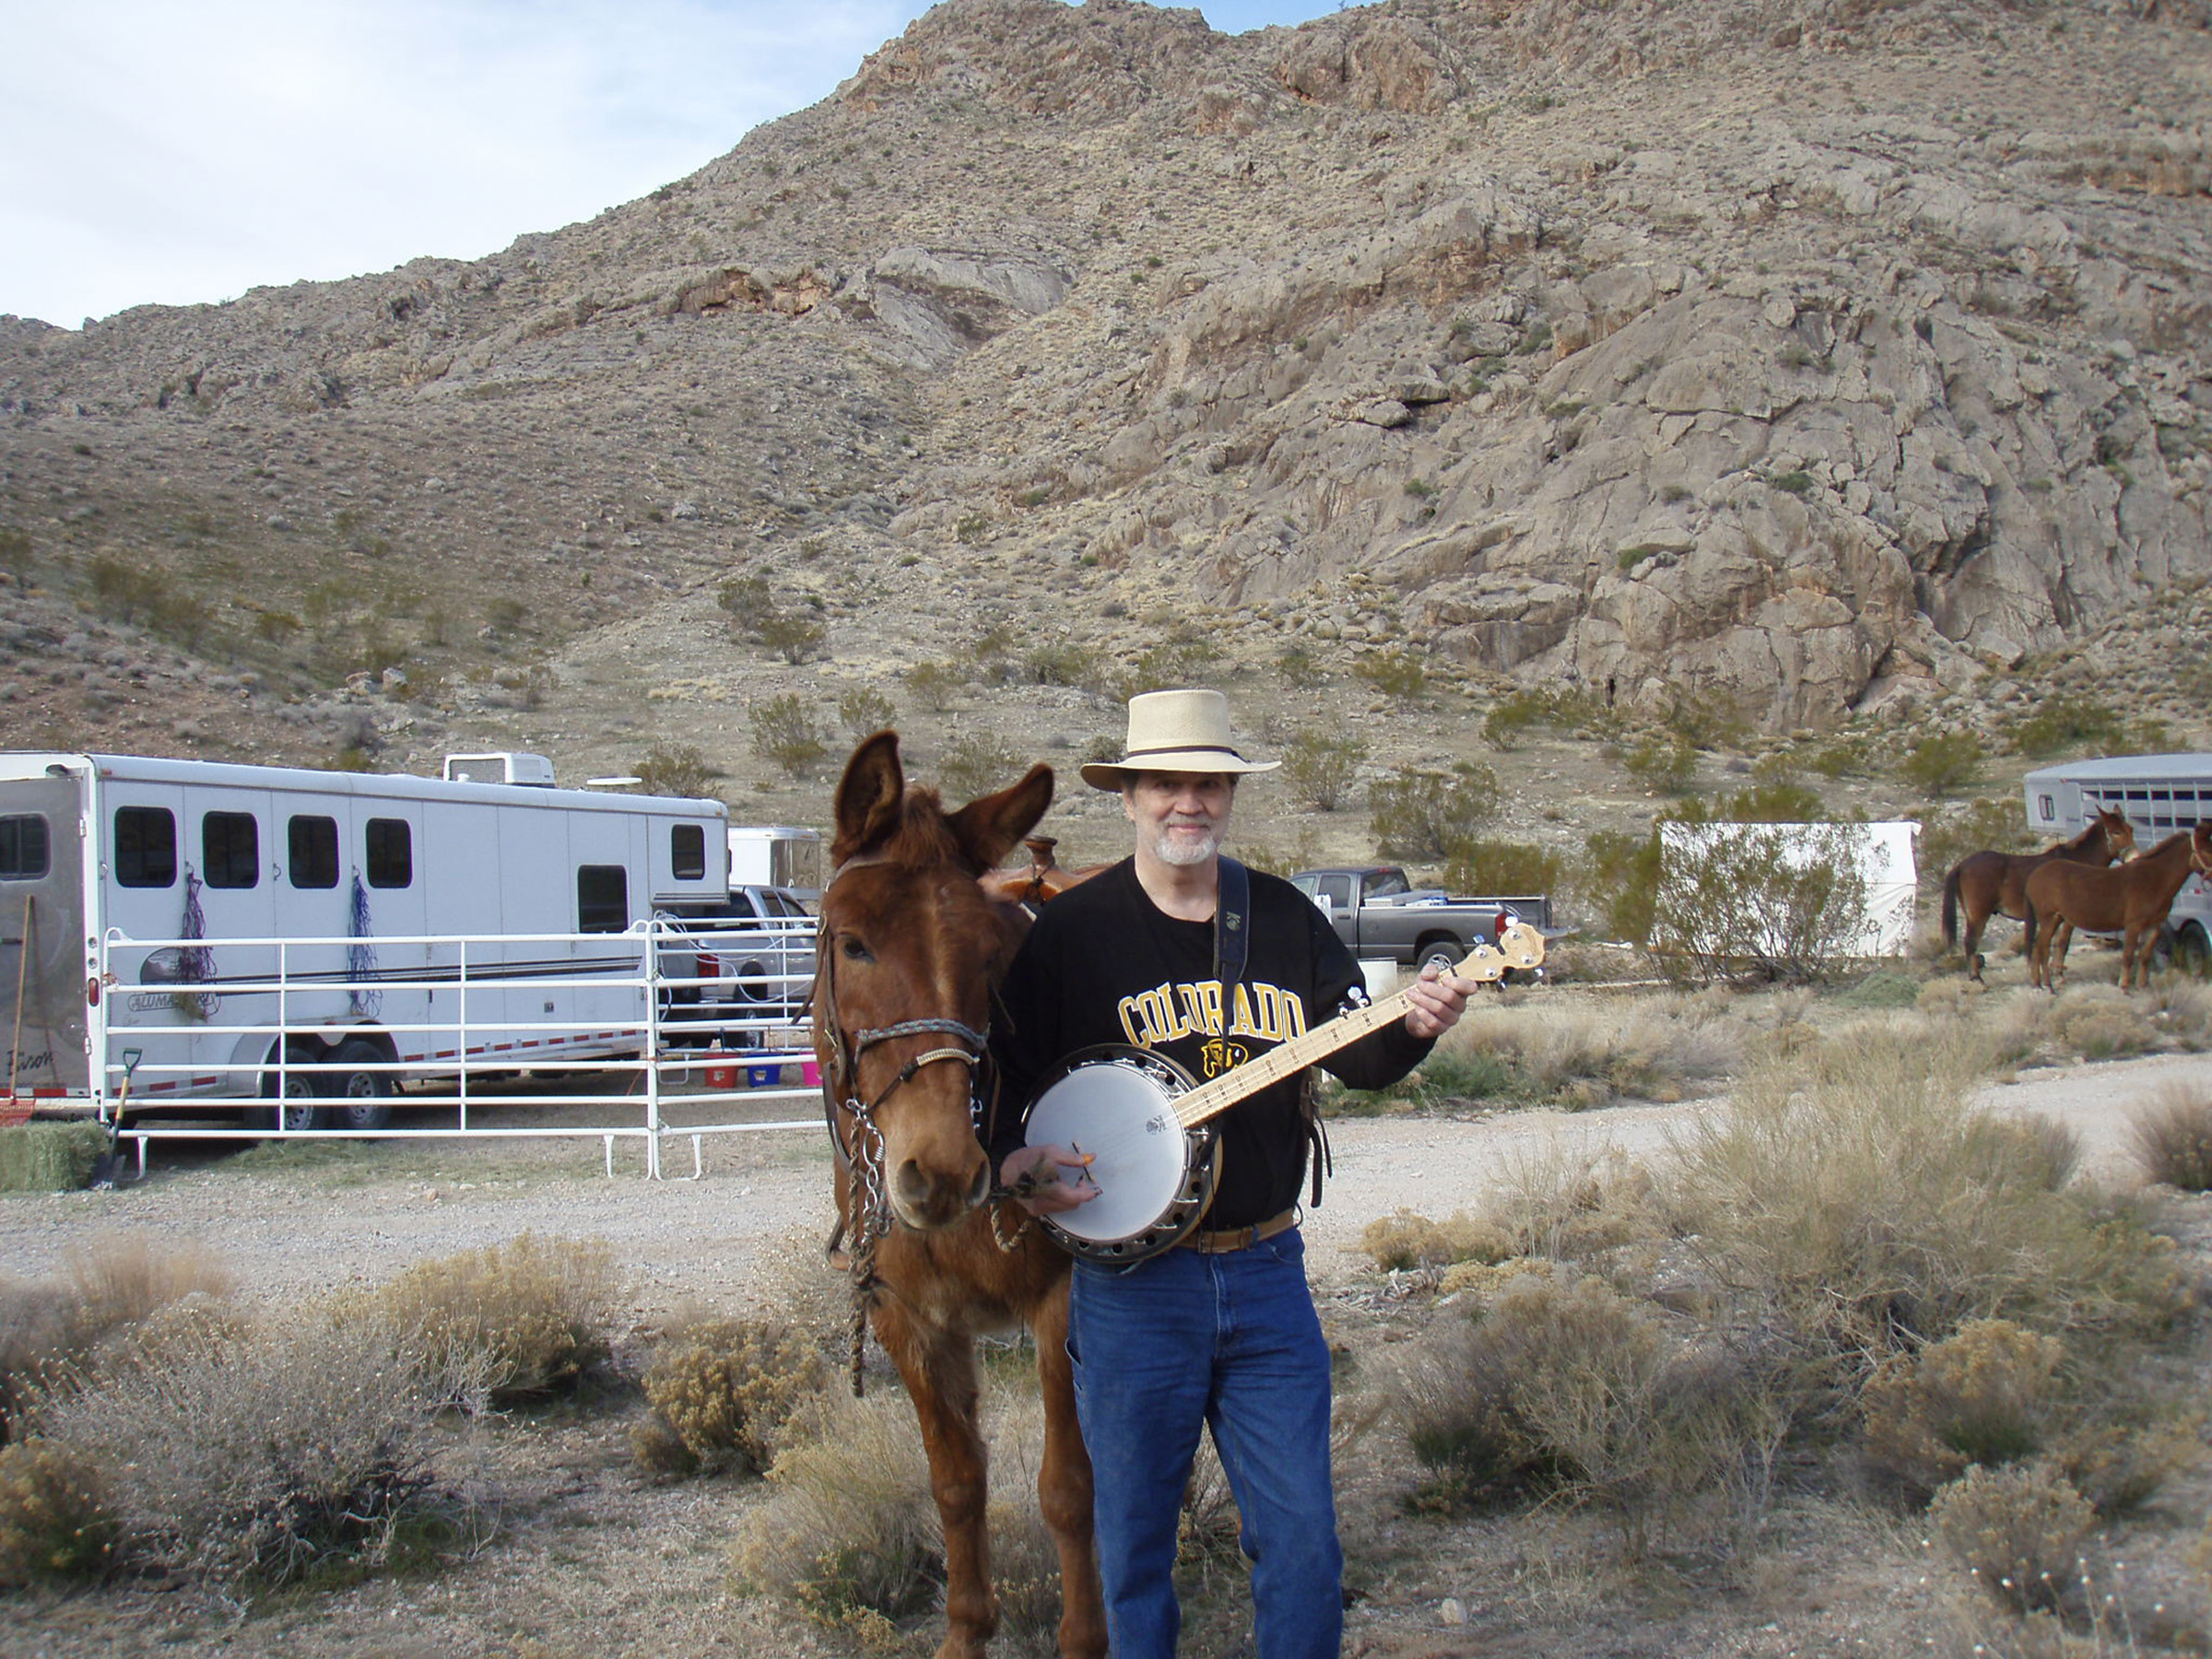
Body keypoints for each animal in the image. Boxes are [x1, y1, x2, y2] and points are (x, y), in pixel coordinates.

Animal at [809, 734, 1101, 1659]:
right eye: (854, 943)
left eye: (987, 956)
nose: (939, 1172)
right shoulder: (908, 1319)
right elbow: (956, 1482)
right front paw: (969, 1630)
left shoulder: (1062, 1302)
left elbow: (1069, 1488)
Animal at [1947, 809, 2132, 982]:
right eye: (2116, 832)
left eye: (2130, 828)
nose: (2132, 854)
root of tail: (1961, 865)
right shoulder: (2068, 918)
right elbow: (2062, 943)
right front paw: (2057, 974)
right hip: (1979, 915)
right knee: (1970, 942)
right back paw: (1978, 980)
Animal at [2026, 827, 2212, 995]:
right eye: (2205, 850)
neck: (2153, 879)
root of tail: (2035, 874)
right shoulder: (2133, 925)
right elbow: (2128, 956)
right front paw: (2124, 988)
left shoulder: (2154, 926)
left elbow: (2144, 956)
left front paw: (2143, 986)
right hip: (2048, 918)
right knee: (2042, 948)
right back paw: (2047, 986)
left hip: (2057, 918)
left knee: (2037, 948)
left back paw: (2038, 984)